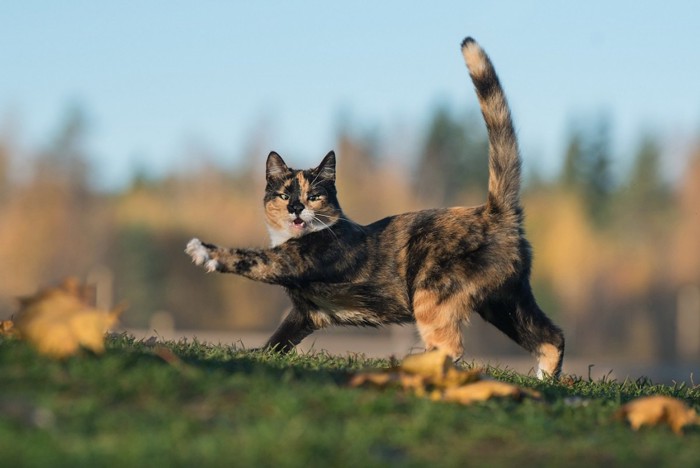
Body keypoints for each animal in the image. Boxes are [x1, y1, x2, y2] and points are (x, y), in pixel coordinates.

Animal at [185, 38, 564, 378]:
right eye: (283, 194)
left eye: (313, 195)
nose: (295, 208)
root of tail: (496, 212)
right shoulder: (304, 313)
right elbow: (279, 340)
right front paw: (260, 355)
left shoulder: (292, 262)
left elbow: (249, 258)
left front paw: (204, 251)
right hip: (505, 300)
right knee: (552, 336)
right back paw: (545, 379)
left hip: (433, 292)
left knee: (451, 346)